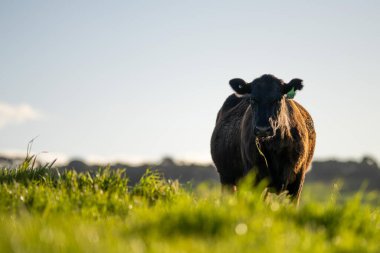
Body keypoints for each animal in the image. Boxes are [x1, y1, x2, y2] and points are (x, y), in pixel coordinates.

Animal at [211, 73, 314, 204]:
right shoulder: (254, 179)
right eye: (252, 99)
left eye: (278, 99)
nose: (262, 129)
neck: (275, 147)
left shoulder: (297, 182)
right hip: (227, 179)